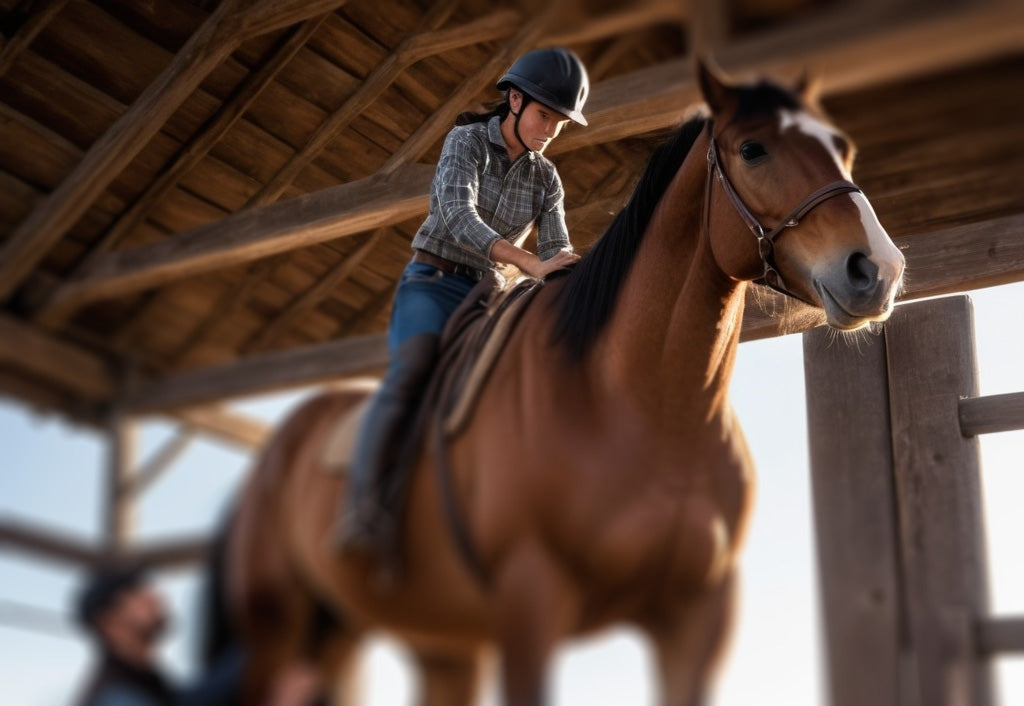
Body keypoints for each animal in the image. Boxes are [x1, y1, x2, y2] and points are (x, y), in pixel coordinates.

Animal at [222, 61, 905, 704]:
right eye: (754, 149)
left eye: (841, 147)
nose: (876, 270)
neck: (644, 408)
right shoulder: (531, 604)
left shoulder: (695, 619)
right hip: (275, 630)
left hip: (406, 641)